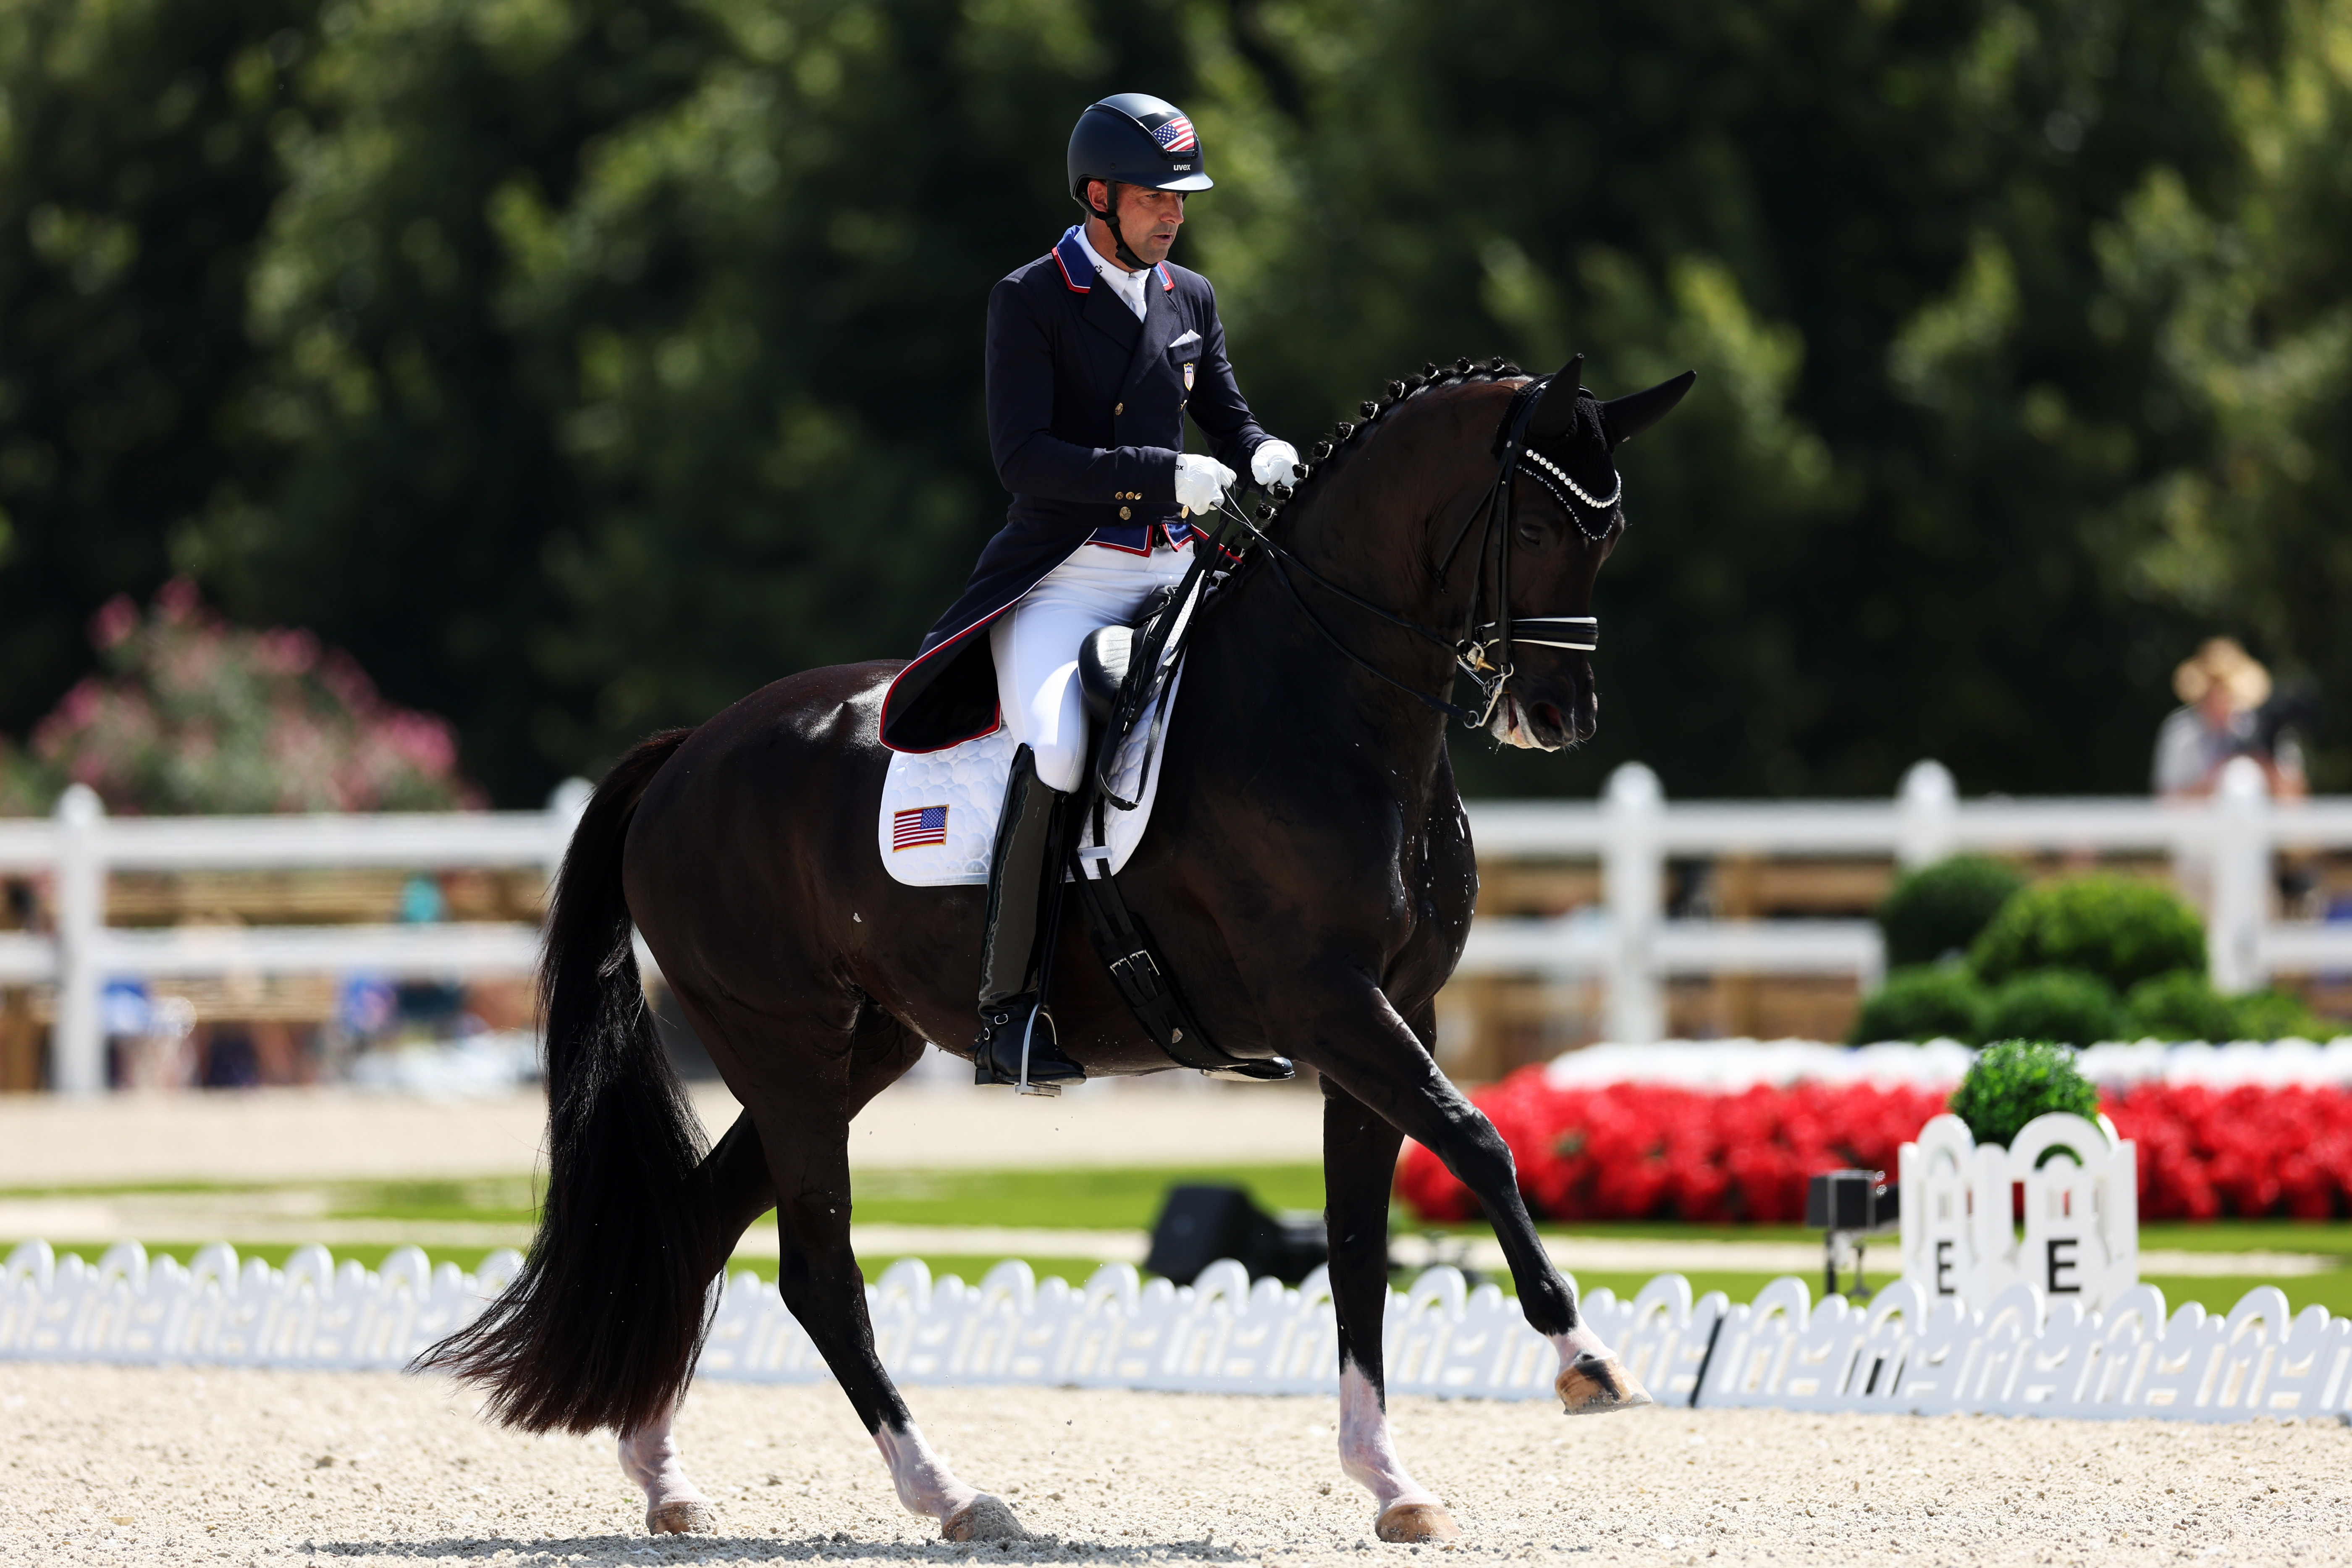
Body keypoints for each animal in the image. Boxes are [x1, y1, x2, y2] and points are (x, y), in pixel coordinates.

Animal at [421, 352, 1695, 1546]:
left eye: (1612, 531)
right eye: (1533, 525)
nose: (1557, 714)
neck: (1325, 712)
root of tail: (689, 751)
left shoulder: (1396, 1016)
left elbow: (1357, 1245)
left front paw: (1392, 1481)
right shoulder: (1331, 1007)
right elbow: (1481, 1141)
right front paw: (1586, 1359)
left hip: (856, 1048)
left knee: (700, 1221)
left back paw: (667, 1479)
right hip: (780, 1043)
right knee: (816, 1269)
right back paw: (950, 1493)